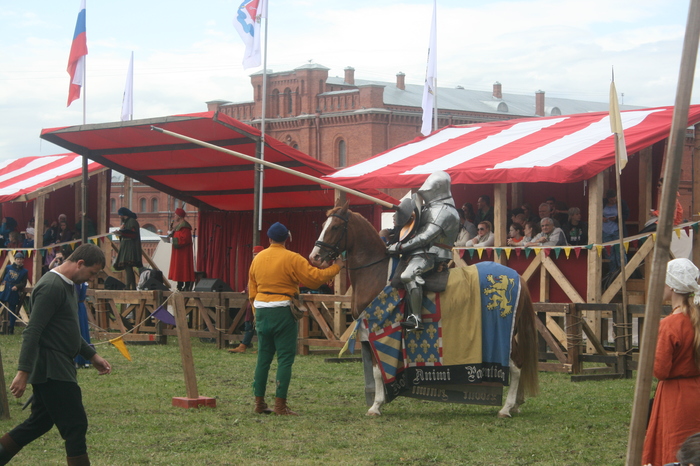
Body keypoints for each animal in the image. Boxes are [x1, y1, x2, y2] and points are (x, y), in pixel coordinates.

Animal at [309, 202, 539, 418]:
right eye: (323, 226)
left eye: (335, 227)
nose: (315, 256)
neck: (375, 271)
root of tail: (517, 277)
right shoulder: (366, 332)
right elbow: (375, 370)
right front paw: (377, 403)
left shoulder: (376, 329)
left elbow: (378, 371)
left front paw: (376, 405)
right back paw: (516, 404)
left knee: (517, 365)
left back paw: (506, 408)